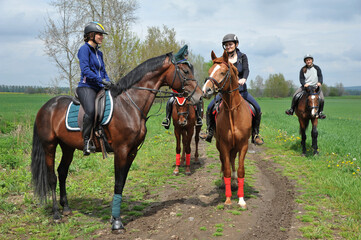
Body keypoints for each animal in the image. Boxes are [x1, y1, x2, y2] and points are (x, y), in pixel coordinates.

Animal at [30, 53, 202, 232]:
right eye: (185, 71)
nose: (200, 95)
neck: (129, 105)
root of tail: (46, 106)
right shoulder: (121, 150)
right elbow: (118, 182)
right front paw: (117, 222)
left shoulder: (132, 151)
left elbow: (122, 182)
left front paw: (115, 217)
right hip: (49, 146)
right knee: (52, 177)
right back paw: (56, 213)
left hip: (67, 147)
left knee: (62, 172)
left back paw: (66, 208)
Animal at [201, 50, 252, 208]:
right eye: (210, 71)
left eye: (223, 72)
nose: (206, 90)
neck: (232, 111)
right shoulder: (223, 144)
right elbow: (227, 170)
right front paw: (228, 199)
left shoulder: (243, 145)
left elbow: (241, 170)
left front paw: (241, 199)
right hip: (221, 145)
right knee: (225, 162)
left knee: (233, 160)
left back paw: (235, 183)